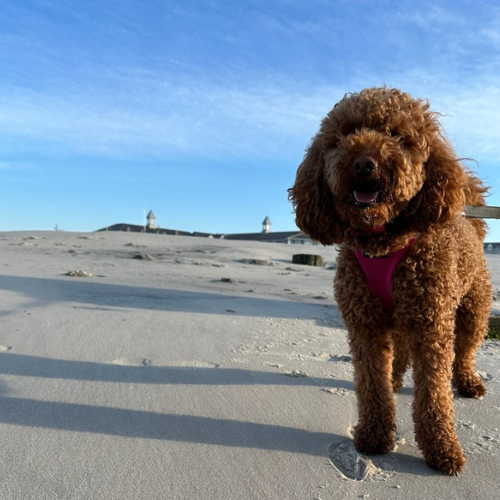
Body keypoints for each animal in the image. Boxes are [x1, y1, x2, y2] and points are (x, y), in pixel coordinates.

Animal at [292, 88, 490, 474]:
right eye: (345, 134)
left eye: (398, 136)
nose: (364, 163)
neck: (382, 243)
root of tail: (470, 222)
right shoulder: (364, 325)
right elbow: (371, 385)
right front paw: (374, 434)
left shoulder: (432, 327)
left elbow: (434, 394)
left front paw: (442, 448)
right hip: (398, 320)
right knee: (398, 352)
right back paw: (395, 378)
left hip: (474, 309)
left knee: (466, 351)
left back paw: (467, 381)